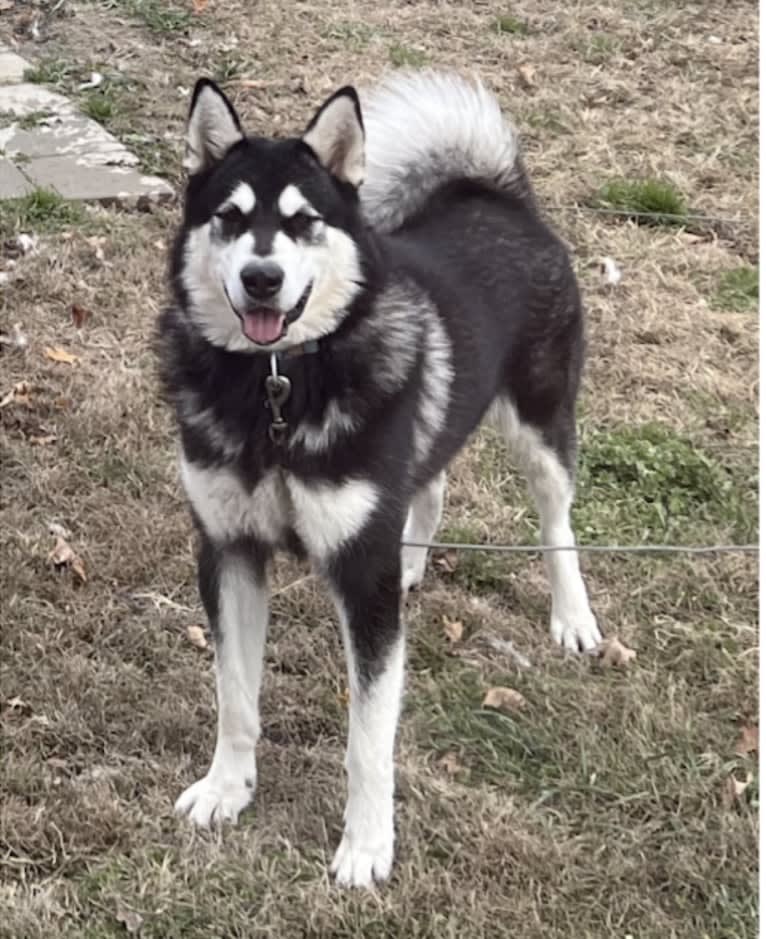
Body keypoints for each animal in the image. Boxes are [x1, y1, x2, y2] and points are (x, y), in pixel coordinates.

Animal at [156, 70, 604, 884]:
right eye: (229, 217)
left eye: (303, 221)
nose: (261, 278)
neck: (275, 390)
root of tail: (500, 195)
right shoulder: (229, 551)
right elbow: (235, 697)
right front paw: (226, 789)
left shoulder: (363, 582)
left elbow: (369, 737)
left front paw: (366, 846)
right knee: (431, 482)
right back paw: (416, 560)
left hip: (541, 425)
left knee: (557, 522)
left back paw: (573, 616)